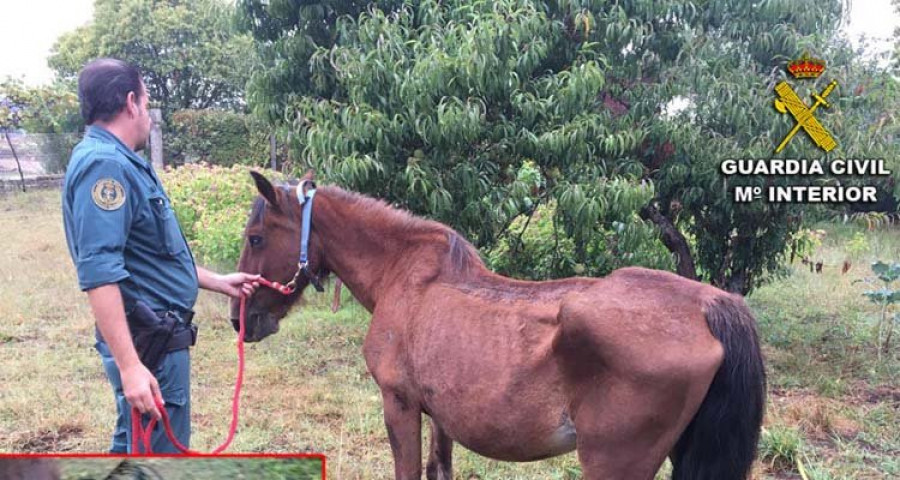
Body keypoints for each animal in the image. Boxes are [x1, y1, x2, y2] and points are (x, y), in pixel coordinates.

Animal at [234, 172, 768, 480]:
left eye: (256, 237)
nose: (241, 319)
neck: (403, 276)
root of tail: (710, 304)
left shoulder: (399, 405)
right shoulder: (440, 417)